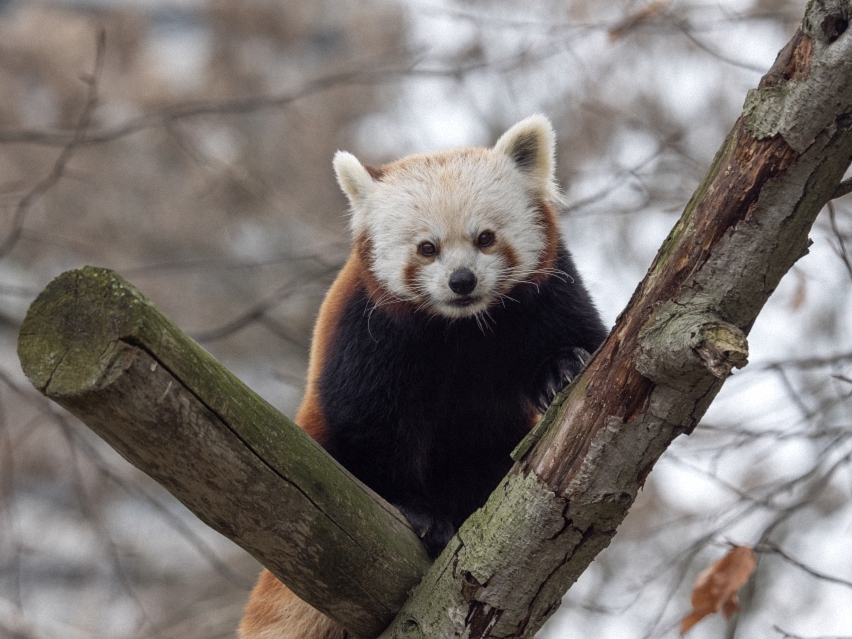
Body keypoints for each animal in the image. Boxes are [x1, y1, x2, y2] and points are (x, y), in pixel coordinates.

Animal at [238, 116, 604, 639]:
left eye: (485, 238)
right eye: (427, 249)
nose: (462, 281)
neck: (462, 327)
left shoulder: (550, 289)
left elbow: (582, 337)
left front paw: (563, 366)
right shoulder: (369, 331)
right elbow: (371, 425)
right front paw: (416, 511)